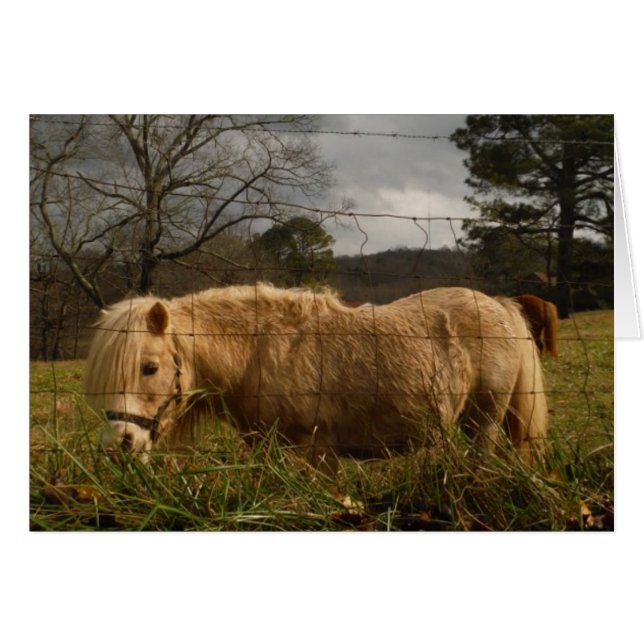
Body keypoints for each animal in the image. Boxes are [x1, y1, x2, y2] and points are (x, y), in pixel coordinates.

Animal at [84, 284, 548, 471]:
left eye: (149, 367)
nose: (119, 445)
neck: (258, 351)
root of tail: (500, 306)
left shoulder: (319, 451)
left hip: (483, 424)